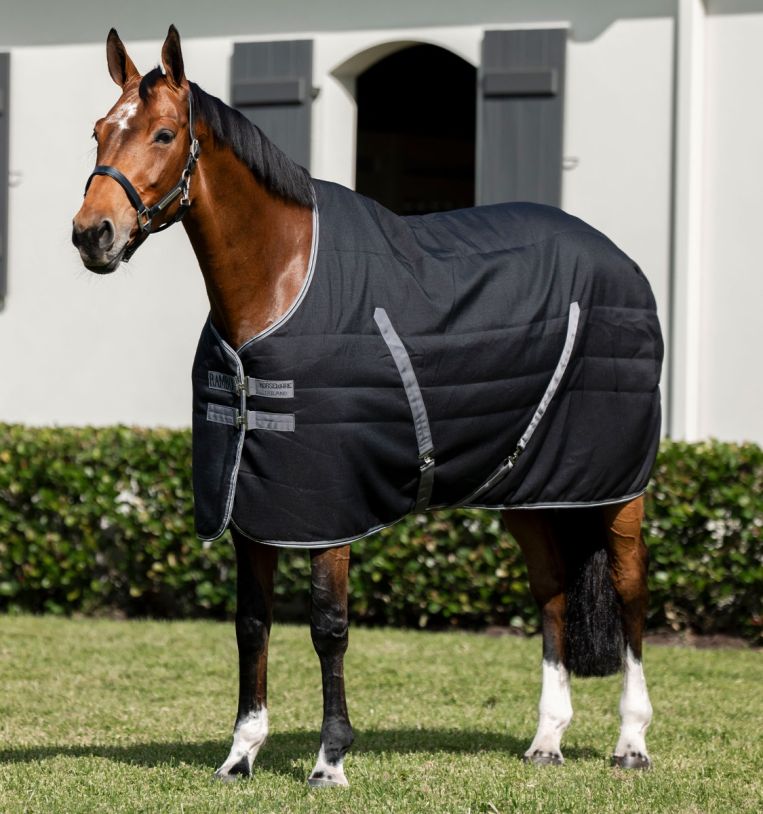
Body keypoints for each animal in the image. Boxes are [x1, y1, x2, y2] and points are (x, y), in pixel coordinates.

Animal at [72, 26, 662, 786]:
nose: (93, 234)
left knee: (629, 593)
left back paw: (631, 742)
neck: (280, 282)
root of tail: (621, 261)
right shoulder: (251, 504)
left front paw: (330, 759)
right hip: (530, 490)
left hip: (618, 488)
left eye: (165, 133)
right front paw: (241, 754)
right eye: (98, 131)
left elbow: (328, 627)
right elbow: (252, 625)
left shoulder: (327, 508)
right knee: (553, 591)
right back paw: (547, 739)